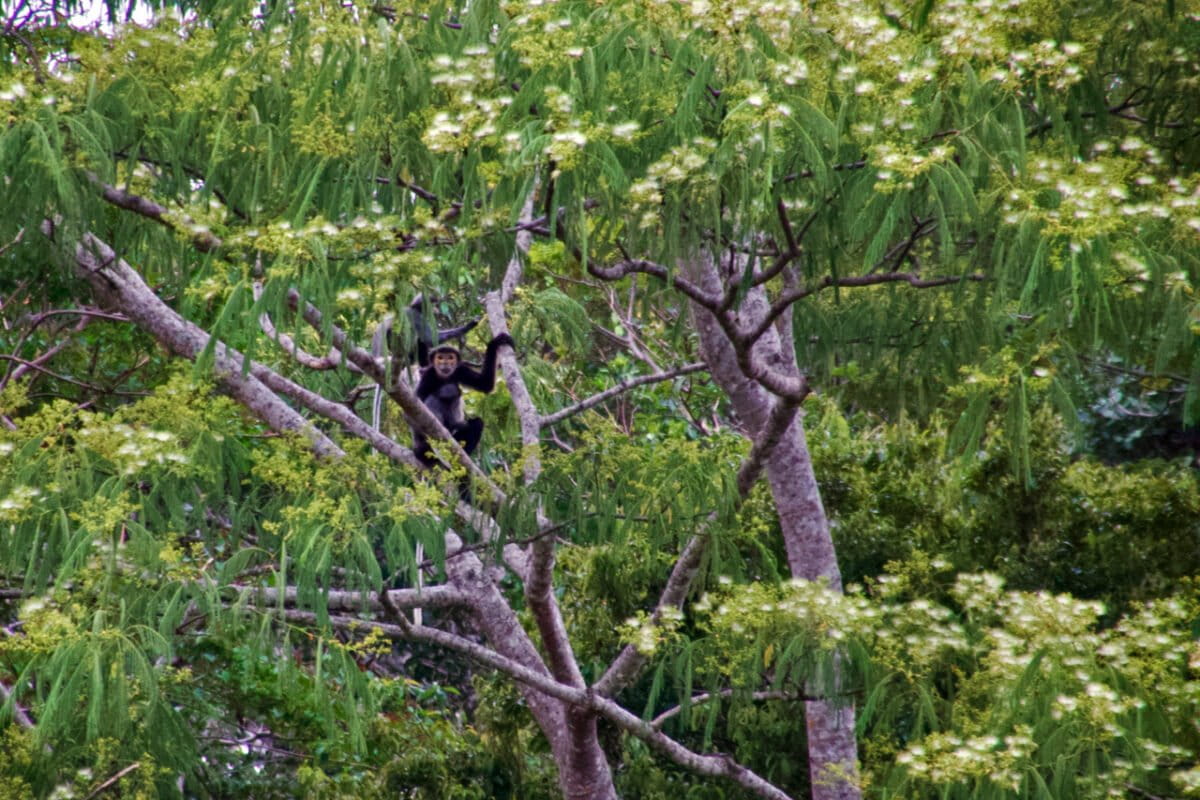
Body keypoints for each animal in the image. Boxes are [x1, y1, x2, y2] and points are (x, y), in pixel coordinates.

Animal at [412, 333, 511, 470]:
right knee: (434, 398)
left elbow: (485, 383)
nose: (445, 363)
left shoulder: (460, 370)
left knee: (477, 422)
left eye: (450, 357)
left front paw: (495, 343)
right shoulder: (429, 376)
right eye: (440, 358)